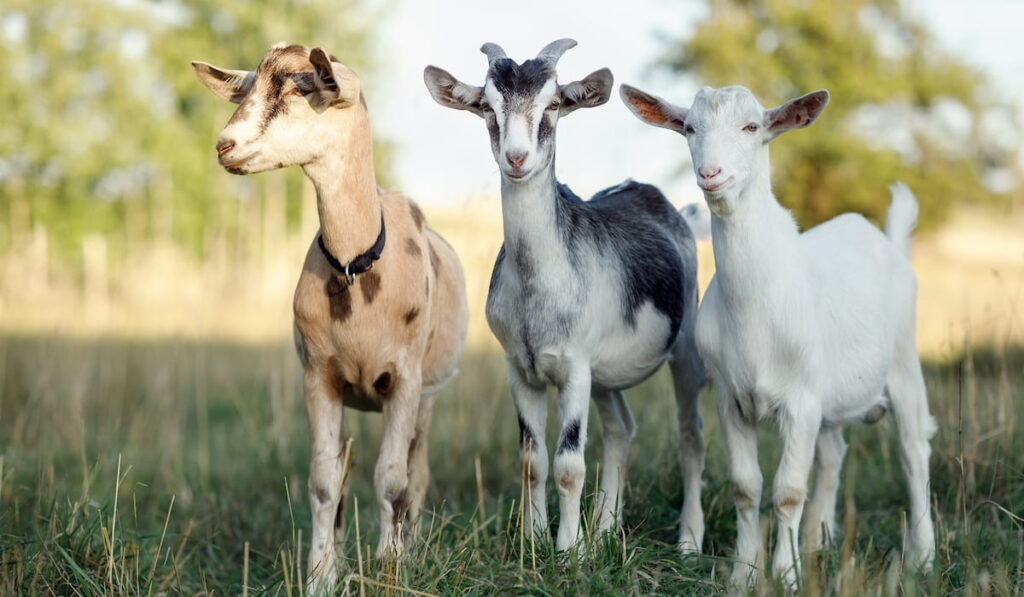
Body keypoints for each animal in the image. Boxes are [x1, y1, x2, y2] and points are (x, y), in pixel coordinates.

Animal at [192, 43, 468, 593]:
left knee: (417, 473)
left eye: (303, 87)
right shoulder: (319, 377)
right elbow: (324, 481)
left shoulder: (404, 380)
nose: (226, 146)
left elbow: (392, 479)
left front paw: (389, 569)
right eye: (249, 86)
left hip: (428, 397)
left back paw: (412, 547)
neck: (357, 266)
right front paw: (321, 576)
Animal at [421, 40, 704, 557]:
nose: (516, 158)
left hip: (685, 349)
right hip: (606, 377)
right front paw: (535, 542)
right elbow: (532, 459)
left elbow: (569, 463)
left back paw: (689, 541)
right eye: (486, 106)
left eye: (553, 103)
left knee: (691, 438)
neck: (538, 290)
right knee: (621, 428)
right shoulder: (521, 370)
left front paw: (568, 550)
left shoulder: (574, 369)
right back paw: (607, 529)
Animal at [618, 83, 937, 589]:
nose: (710, 174)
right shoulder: (732, 398)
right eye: (688, 127)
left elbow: (788, 490)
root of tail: (888, 242)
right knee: (833, 454)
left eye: (752, 127)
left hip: (905, 364)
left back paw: (922, 556)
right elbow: (747, 486)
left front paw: (786, 577)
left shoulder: (801, 400)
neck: (754, 311)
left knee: (913, 451)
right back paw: (817, 540)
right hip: (831, 397)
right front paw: (744, 573)